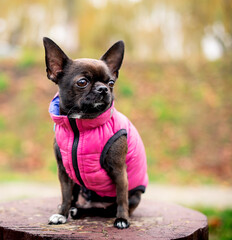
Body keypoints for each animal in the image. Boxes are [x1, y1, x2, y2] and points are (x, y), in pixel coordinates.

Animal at [43, 37, 149, 229]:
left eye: (111, 83)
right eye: (82, 82)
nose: (103, 89)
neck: (79, 125)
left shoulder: (119, 171)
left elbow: (121, 197)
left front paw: (122, 219)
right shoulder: (64, 172)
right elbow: (65, 194)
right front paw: (61, 214)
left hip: (134, 195)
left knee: (111, 207)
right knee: (76, 200)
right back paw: (74, 210)